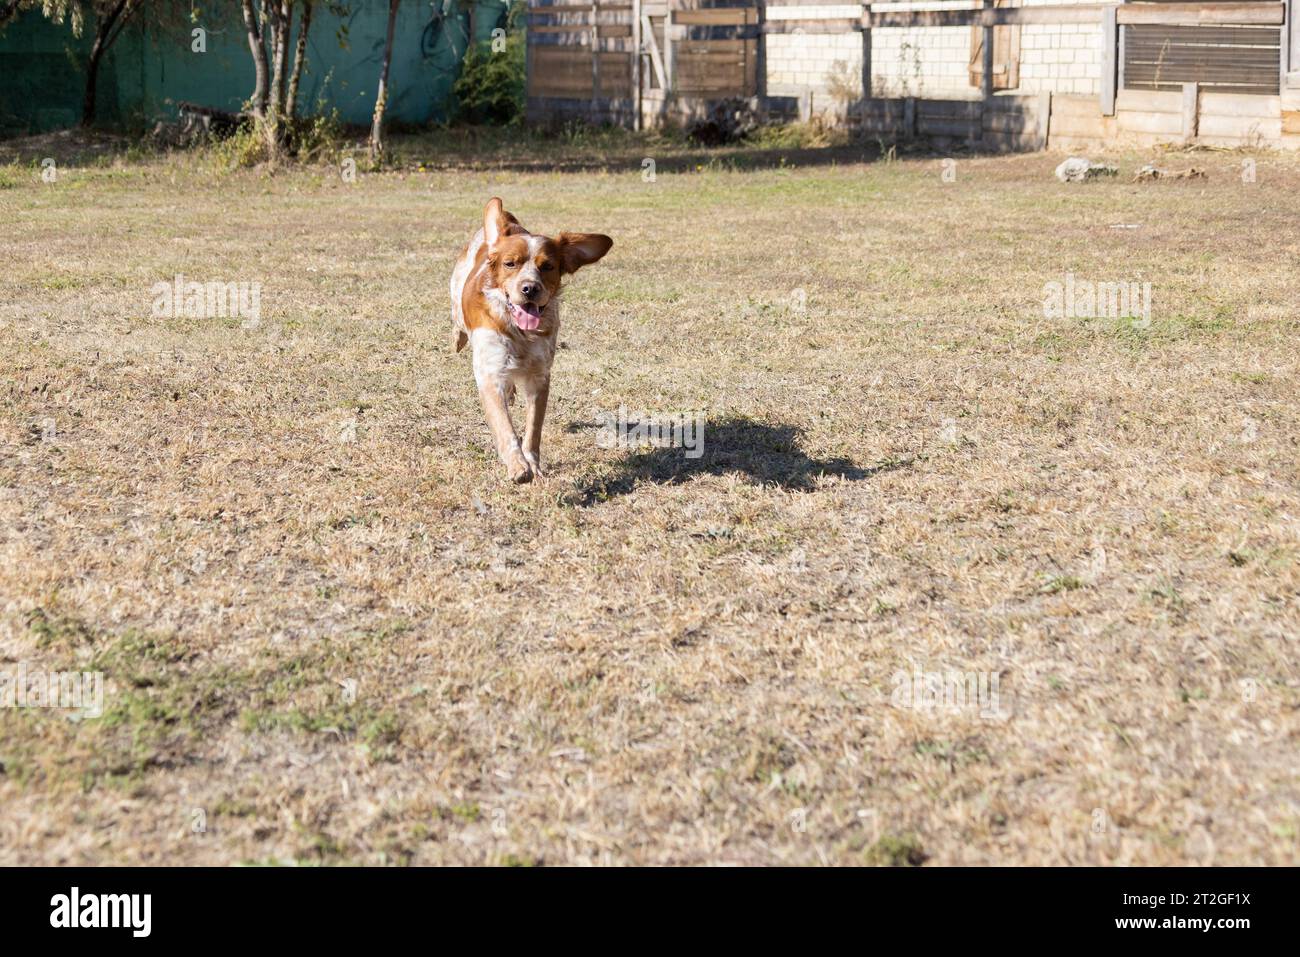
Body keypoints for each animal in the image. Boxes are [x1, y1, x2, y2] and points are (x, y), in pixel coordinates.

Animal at [449, 201, 611, 486]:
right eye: (510, 263)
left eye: (547, 266)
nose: (529, 288)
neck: (519, 333)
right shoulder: (489, 372)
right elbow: (505, 427)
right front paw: (517, 465)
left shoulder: (539, 375)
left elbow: (533, 428)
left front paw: (532, 463)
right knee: (457, 320)